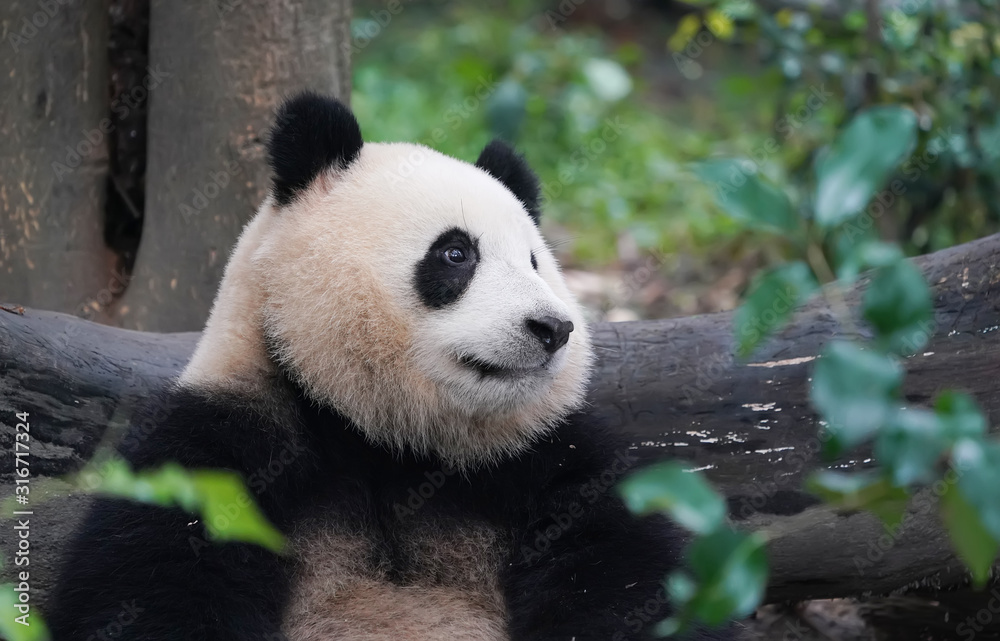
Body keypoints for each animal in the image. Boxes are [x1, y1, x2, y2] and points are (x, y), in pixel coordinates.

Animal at [48, 91, 736, 640]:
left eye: (536, 262)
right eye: (456, 253)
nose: (553, 328)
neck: (390, 438)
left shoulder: (546, 458)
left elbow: (629, 576)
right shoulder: (227, 446)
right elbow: (150, 588)